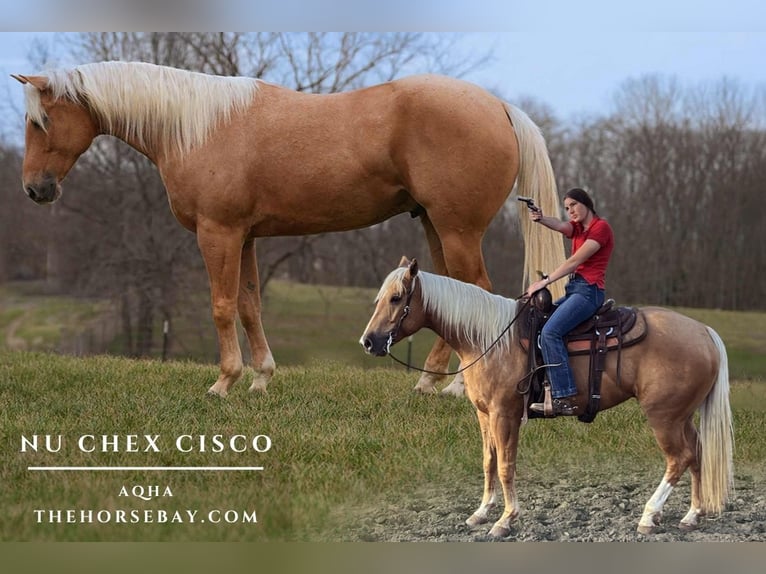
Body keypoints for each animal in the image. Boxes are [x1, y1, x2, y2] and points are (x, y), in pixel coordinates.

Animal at [13, 60, 564, 397]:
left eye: (42, 121)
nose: (35, 190)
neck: (197, 127)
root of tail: (498, 107)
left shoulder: (218, 233)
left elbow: (220, 305)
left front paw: (224, 382)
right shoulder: (246, 236)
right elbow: (249, 304)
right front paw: (261, 378)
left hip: (457, 228)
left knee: (477, 290)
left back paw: (454, 386)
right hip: (434, 223)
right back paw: (430, 381)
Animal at [360, 257, 734, 538]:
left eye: (397, 298)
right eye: (379, 298)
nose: (369, 341)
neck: (490, 339)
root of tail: (704, 332)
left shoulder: (505, 414)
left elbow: (506, 465)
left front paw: (505, 520)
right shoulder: (484, 414)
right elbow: (489, 462)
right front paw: (481, 512)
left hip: (663, 417)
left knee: (678, 458)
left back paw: (648, 515)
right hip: (682, 416)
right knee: (697, 453)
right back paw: (692, 515)